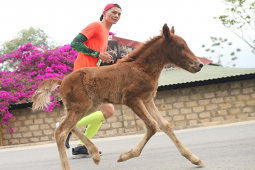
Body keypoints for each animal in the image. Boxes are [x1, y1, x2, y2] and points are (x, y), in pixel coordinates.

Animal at [31, 23, 204, 169]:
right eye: (180, 46)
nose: (199, 64)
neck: (143, 68)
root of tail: (62, 80)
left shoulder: (148, 100)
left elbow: (165, 125)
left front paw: (194, 158)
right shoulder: (131, 99)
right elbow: (152, 125)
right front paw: (126, 156)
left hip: (88, 106)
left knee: (64, 124)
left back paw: (95, 154)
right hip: (81, 106)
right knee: (60, 131)